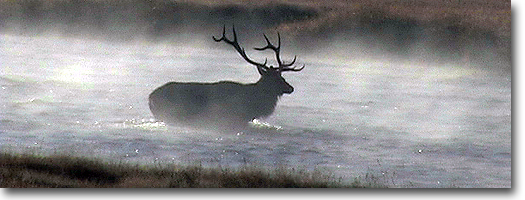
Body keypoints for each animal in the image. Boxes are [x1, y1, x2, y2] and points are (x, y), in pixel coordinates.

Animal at [146, 25, 302, 130]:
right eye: (275, 78)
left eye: (281, 76)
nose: (291, 88)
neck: (252, 104)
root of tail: (150, 97)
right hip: (171, 113)